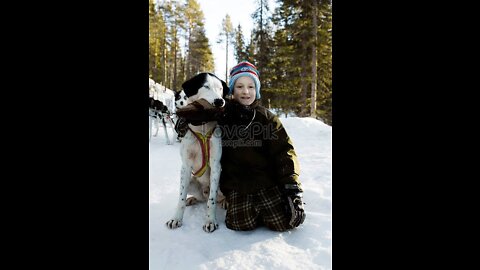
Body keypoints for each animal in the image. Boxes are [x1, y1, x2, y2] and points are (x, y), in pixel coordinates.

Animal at [167, 73, 229, 233]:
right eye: (205, 86)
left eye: (220, 88)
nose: (220, 101)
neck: (202, 127)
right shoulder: (185, 167)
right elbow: (180, 198)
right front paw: (176, 218)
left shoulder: (216, 165)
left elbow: (212, 201)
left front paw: (210, 220)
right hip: (191, 181)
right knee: (201, 198)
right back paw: (192, 199)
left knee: (214, 198)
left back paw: (225, 202)